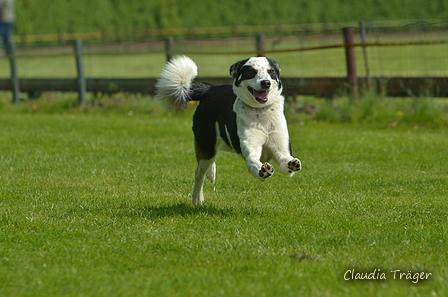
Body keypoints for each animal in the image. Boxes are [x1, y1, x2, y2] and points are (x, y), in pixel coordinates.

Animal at [156, 55, 302, 205]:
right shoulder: (251, 150)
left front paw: (292, 163)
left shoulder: (281, 149)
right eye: (251, 71)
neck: (260, 112)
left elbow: (286, 162)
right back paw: (197, 198)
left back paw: (211, 173)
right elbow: (253, 162)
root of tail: (210, 88)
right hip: (207, 142)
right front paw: (264, 170)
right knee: (199, 172)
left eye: (271, 71)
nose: (266, 83)